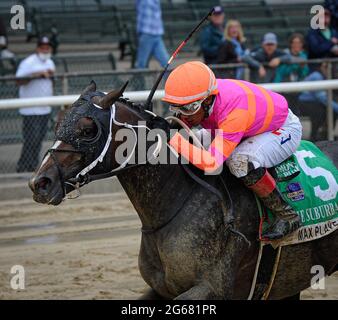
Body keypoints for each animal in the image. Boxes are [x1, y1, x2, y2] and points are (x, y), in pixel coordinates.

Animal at [29, 83, 338, 300]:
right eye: (59, 123)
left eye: (87, 129)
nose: (40, 183)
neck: (176, 202)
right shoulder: (162, 290)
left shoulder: (212, 287)